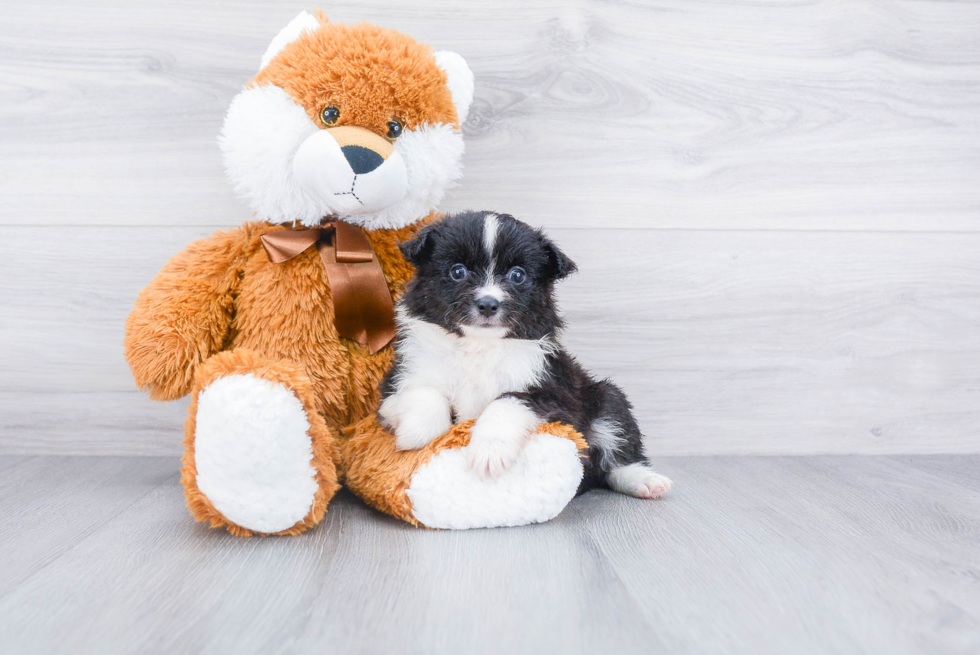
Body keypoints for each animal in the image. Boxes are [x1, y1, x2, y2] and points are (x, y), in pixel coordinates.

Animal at [378, 213, 668, 500]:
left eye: (517, 275)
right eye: (457, 271)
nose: (488, 304)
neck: (478, 346)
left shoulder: (554, 393)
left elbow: (507, 401)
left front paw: (490, 452)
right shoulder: (397, 381)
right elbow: (423, 392)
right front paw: (417, 434)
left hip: (607, 398)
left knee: (615, 457)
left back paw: (645, 480)